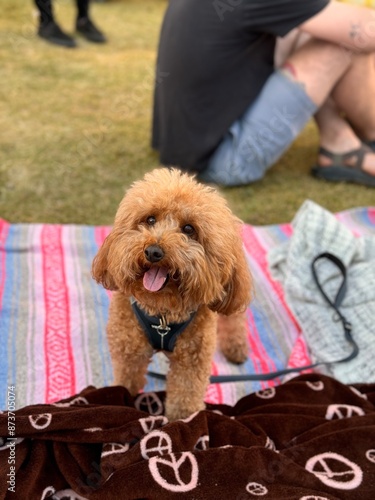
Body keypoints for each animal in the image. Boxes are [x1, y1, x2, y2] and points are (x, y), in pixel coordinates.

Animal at [92, 169, 254, 422]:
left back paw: (236, 347)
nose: (153, 251)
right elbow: (127, 380)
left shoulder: (191, 361)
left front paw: (182, 423)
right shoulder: (129, 350)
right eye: (150, 219)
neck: (162, 313)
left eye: (188, 229)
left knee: (234, 318)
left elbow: (184, 399)